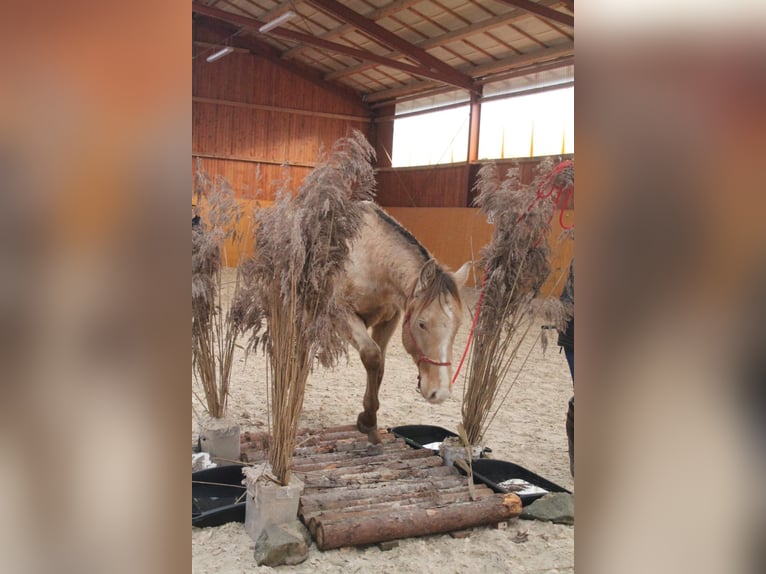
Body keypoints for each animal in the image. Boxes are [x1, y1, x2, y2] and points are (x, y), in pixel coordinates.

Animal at [340, 203, 470, 444]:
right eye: (421, 324)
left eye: (457, 326)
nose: (440, 393)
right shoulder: (344, 316)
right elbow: (371, 356)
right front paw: (368, 420)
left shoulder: (389, 321)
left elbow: (379, 365)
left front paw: (369, 419)